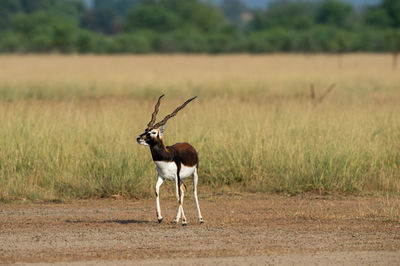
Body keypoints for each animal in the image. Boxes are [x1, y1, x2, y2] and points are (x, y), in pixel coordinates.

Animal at [137, 94, 205, 225]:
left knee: (194, 192)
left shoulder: (176, 176)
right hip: (180, 179)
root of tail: (189, 145)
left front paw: (184, 221)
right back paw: (175, 219)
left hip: (194, 174)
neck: (166, 158)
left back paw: (200, 219)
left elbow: (177, 196)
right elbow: (156, 190)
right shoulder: (162, 176)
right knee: (183, 190)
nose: (139, 138)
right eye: (146, 129)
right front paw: (160, 217)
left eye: (154, 132)